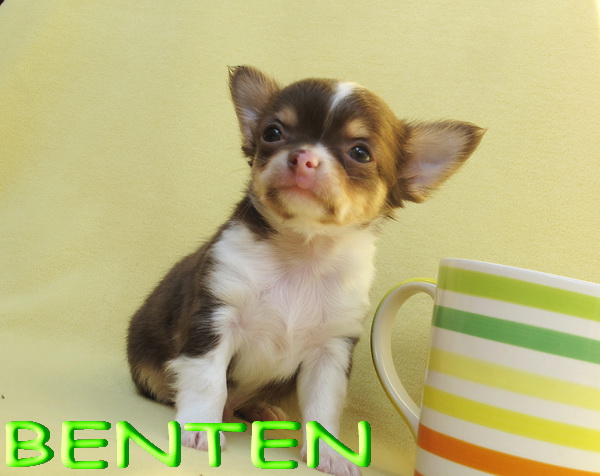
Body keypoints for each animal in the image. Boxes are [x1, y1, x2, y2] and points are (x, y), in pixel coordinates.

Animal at [126, 65, 484, 475]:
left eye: (360, 152)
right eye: (273, 133)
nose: (303, 157)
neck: (303, 253)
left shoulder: (330, 351)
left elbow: (324, 406)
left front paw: (330, 454)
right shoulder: (214, 317)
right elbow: (207, 381)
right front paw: (200, 429)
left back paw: (261, 410)